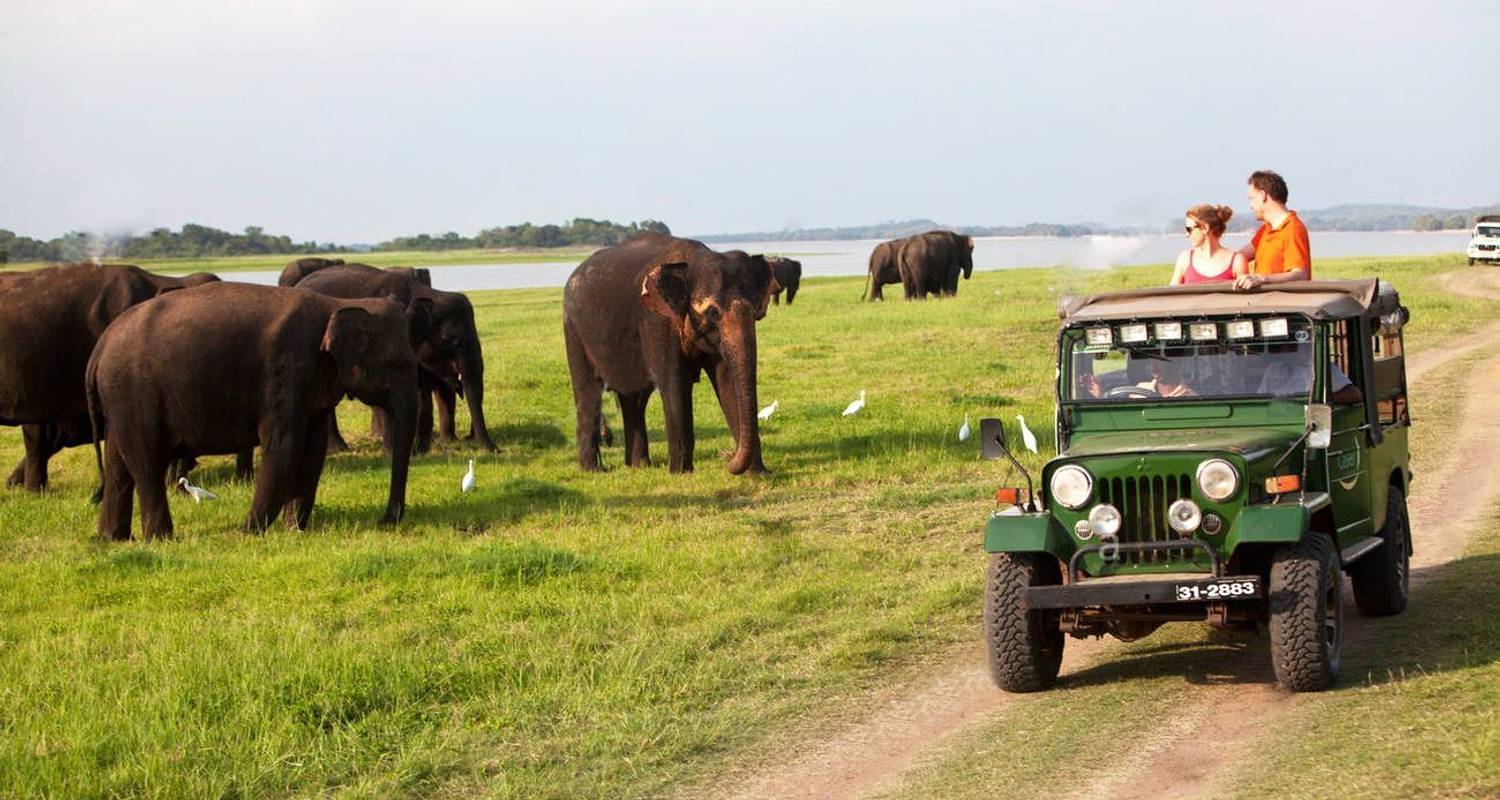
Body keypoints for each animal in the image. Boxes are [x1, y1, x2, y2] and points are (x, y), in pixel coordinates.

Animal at [86, 280, 423, 537]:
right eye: (397, 365)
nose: (385, 520)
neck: (338, 303)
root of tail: (100, 347)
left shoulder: (311, 385)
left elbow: (313, 449)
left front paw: (294, 529)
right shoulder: (286, 370)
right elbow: (284, 445)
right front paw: (249, 531)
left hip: (120, 402)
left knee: (118, 464)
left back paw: (112, 538)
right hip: (133, 394)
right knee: (146, 461)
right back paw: (161, 537)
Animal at [294, 262, 498, 450]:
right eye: (448, 338)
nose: (495, 450)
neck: (427, 293)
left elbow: (439, 387)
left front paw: (446, 442)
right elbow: (419, 391)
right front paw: (419, 449)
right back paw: (338, 448)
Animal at [561, 229, 780, 474]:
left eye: (756, 311)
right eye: (713, 312)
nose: (727, 460)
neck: (693, 262)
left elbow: (727, 383)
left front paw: (757, 473)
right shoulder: (657, 320)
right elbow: (675, 384)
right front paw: (681, 473)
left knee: (633, 398)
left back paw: (639, 467)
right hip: (573, 330)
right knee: (588, 391)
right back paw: (594, 470)